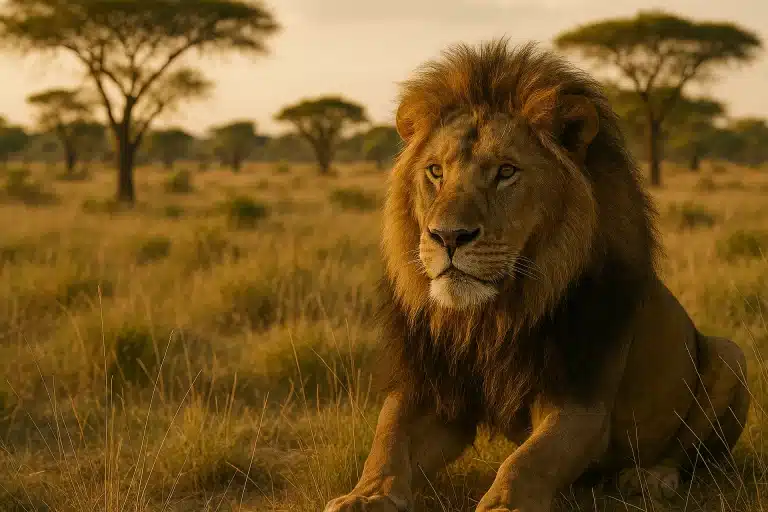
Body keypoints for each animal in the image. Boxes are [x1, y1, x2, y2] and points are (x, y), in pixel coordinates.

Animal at [324, 39, 750, 512]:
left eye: (506, 172)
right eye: (435, 171)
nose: (448, 236)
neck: (490, 318)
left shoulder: (581, 401)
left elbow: (528, 461)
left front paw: (502, 505)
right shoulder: (430, 388)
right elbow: (387, 441)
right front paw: (364, 496)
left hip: (731, 356)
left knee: (688, 451)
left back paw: (651, 479)